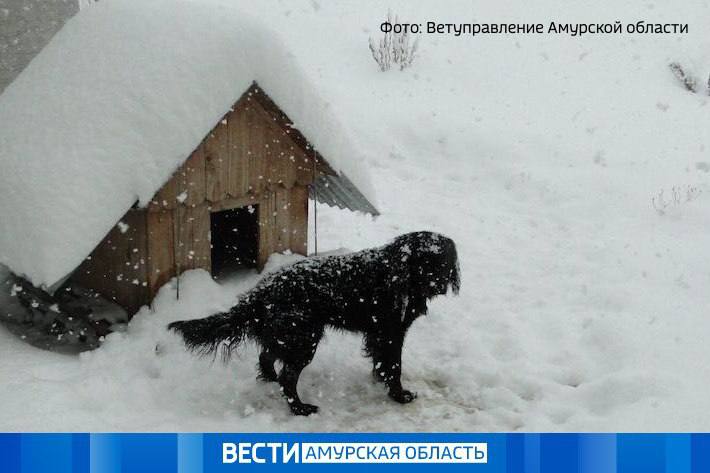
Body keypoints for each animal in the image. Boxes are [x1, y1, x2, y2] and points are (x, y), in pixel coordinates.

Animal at [168, 230, 462, 414]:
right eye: (424, 260)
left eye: (444, 261)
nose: (438, 283)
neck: (400, 276)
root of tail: (261, 291)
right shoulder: (391, 331)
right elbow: (394, 365)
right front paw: (399, 395)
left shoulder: (379, 332)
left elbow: (381, 362)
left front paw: (381, 381)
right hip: (304, 339)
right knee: (287, 376)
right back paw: (300, 408)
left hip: (288, 335)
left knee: (267, 357)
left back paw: (270, 380)